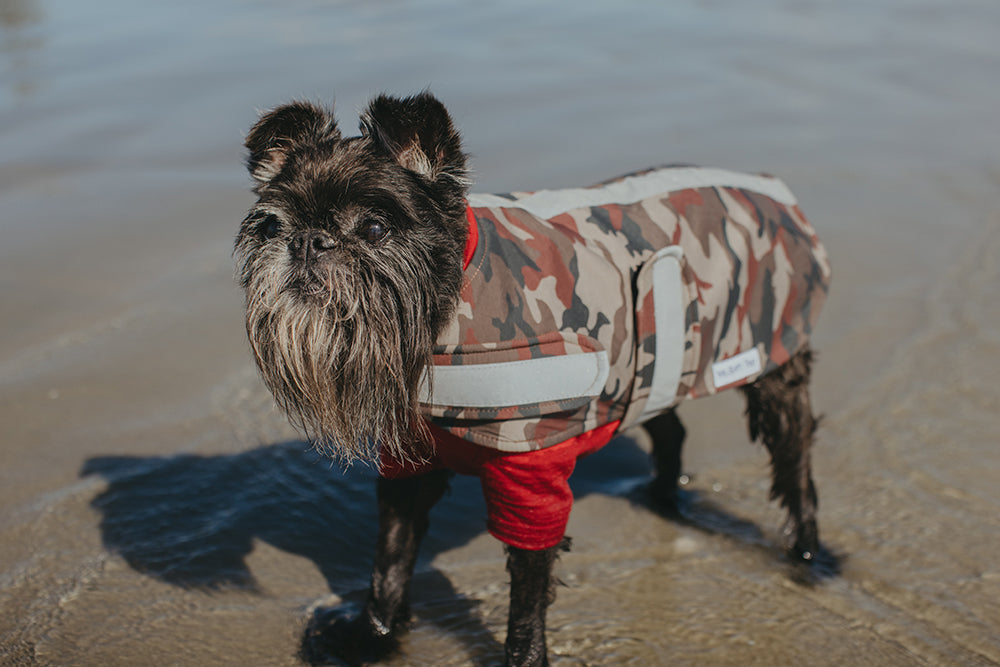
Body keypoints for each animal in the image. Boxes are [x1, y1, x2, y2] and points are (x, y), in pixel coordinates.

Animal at [232, 94, 828, 667]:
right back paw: (660, 496)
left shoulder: (531, 480)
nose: (308, 241)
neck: (450, 307)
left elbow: (525, 601)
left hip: (775, 371)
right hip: (646, 364)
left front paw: (523, 657)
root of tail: (776, 193)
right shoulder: (408, 467)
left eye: (374, 228)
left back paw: (810, 557)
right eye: (273, 225)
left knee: (796, 469)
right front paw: (371, 635)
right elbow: (391, 559)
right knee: (667, 425)